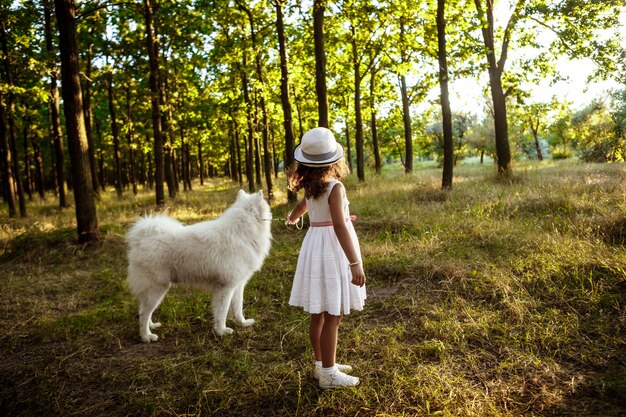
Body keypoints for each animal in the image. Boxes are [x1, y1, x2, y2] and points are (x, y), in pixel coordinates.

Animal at [126, 188, 270, 342]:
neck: (242, 231)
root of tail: (142, 238)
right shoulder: (226, 287)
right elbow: (222, 312)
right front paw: (221, 331)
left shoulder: (238, 285)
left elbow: (238, 308)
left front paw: (243, 323)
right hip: (156, 287)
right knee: (143, 313)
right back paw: (146, 336)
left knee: (144, 310)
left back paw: (152, 326)